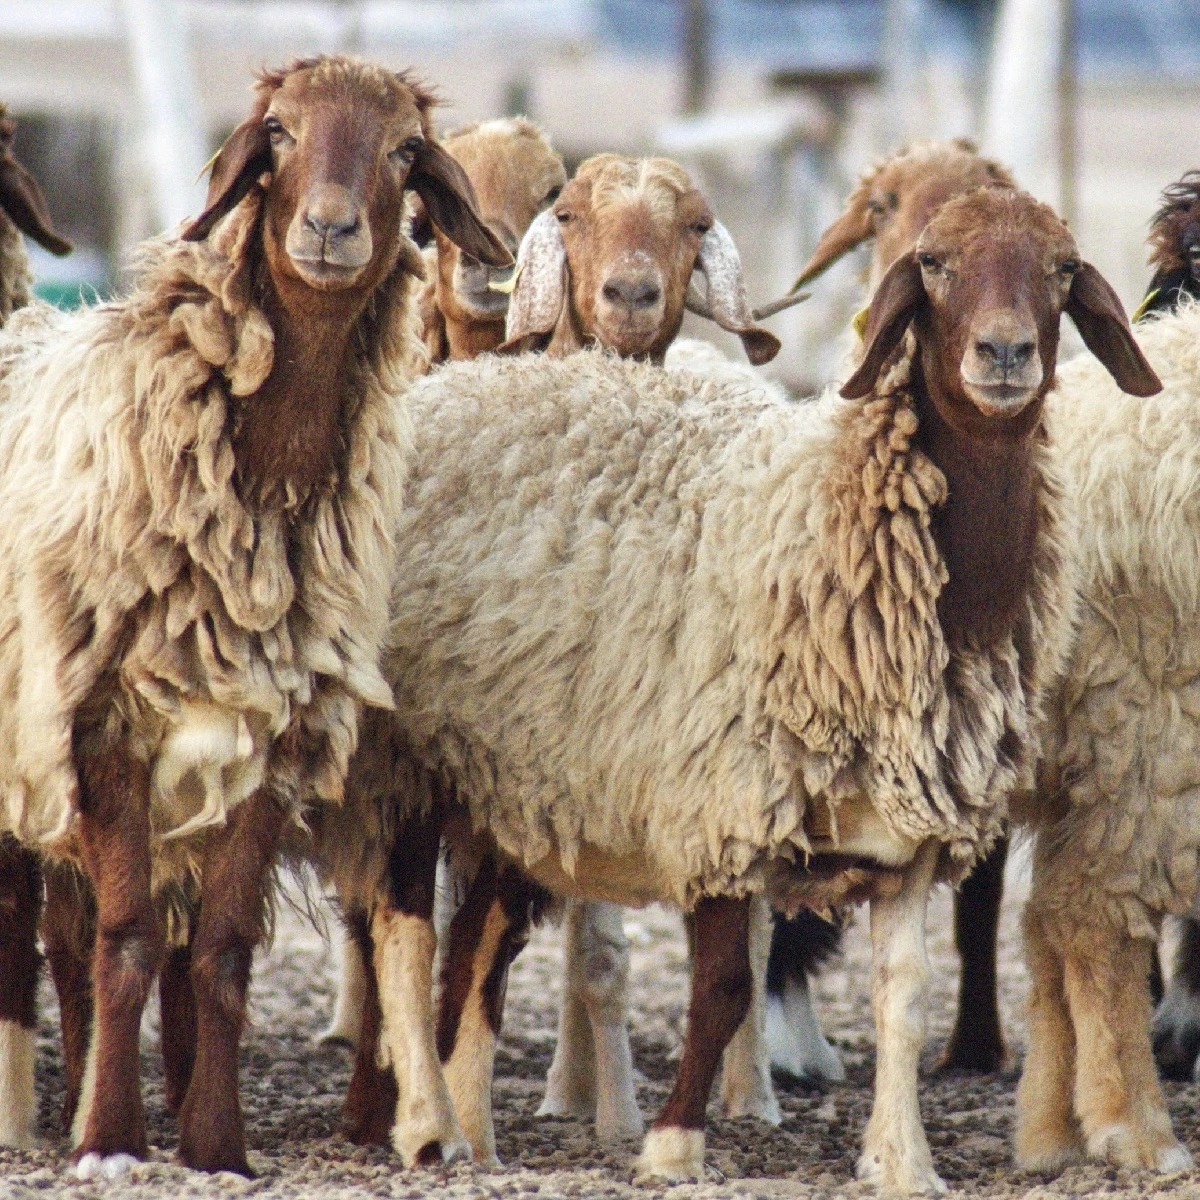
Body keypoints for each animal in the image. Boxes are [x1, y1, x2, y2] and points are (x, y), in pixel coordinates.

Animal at [0, 54, 506, 1171]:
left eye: (407, 149)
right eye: (277, 130)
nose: (328, 228)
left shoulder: (276, 734)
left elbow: (222, 956)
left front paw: (213, 1144)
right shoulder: (102, 720)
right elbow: (128, 941)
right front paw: (111, 1140)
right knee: (61, 935)